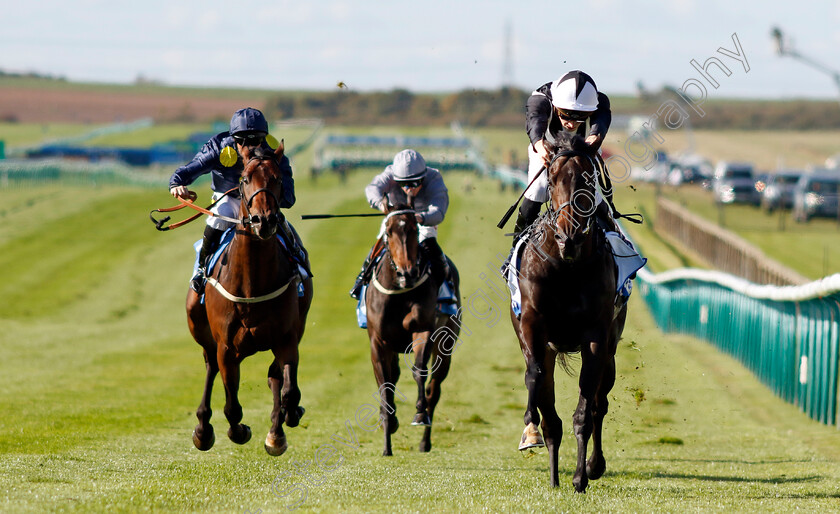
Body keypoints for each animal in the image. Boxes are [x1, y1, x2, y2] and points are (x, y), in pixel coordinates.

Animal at [185, 139, 314, 452]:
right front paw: (238, 430)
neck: (252, 283)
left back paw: (276, 432)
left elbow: (289, 390)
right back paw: (203, 429)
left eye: (277, 179)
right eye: (244, 179)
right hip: (200, 327)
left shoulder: (286, 338)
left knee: (274, 376)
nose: (263, 220)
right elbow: (232, 405)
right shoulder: (226, 347)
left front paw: (285, 420)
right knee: (210, 366)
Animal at [364, 202, 462, 454]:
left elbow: (419, 371)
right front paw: (387, 437)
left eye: (415, 230)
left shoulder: (422, 330)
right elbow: (386, 385)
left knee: (434, 389)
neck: (399, 292)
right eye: (388, 232)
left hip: (446, 344)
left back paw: (425, 441)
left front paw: (419, 413)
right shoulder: (378, 342)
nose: (407, 273)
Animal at [512, 131, 632, 488]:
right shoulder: (532, 327)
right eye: (551, 180)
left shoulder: (595, 336)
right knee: (551, 407)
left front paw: (581, 476)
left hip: (611, 349)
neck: (566, 267)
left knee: (599, 404)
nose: (571, 237)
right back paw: (553, 475)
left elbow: (585, 412)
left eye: (588, 178)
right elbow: (536, 379)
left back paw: (594, 465)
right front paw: (530, 430)